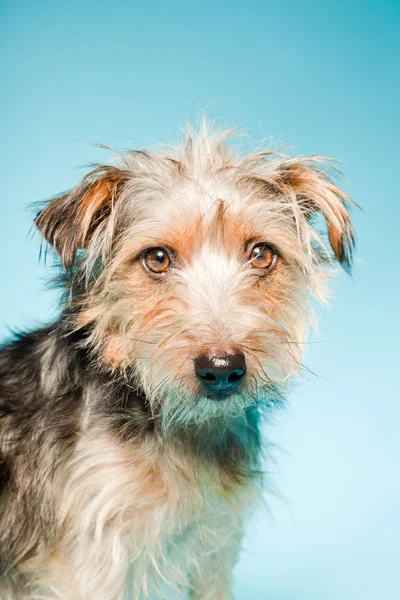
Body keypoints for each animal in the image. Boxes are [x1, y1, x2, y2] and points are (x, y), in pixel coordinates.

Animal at [0, 123, 356, 600]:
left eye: (262, 254)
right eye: (157, 258)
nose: (221, 369)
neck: (177, 429)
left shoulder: (213, 550)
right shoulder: (88, 562)